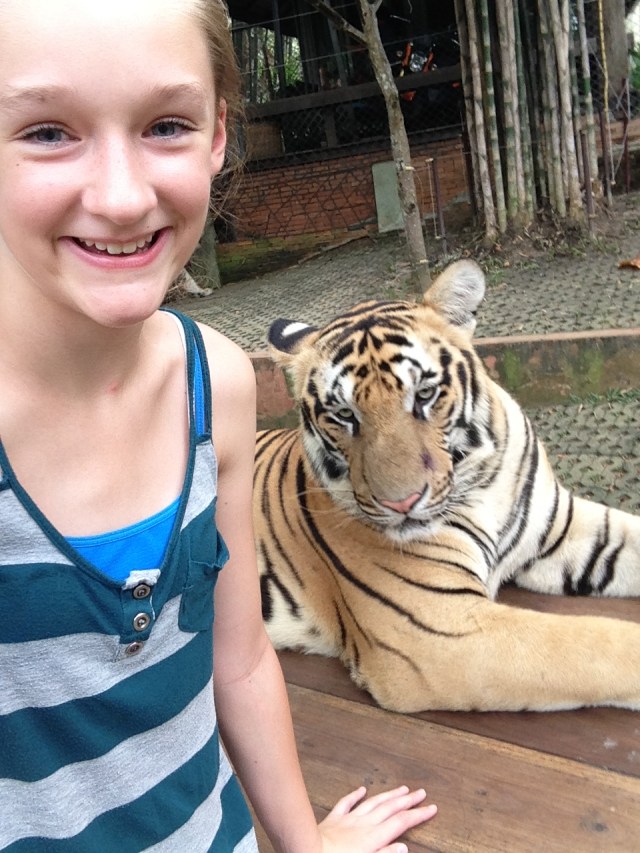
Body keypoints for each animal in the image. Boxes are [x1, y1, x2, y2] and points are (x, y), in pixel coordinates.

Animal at [253, 259, 640, 713]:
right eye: (344, 414)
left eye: (424, 394)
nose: (401, 503)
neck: (481, 482)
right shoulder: (437, 630)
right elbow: (595, 644)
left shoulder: (560, 530)